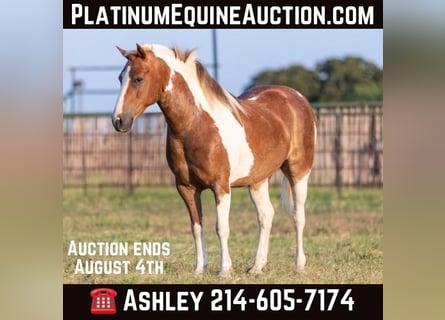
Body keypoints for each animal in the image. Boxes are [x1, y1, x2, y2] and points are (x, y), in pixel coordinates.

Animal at [112, 43, 318, 276]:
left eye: (138, 79)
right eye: (120, 78)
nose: (118, 121)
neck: (196, 124)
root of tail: (296, 97)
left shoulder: (220, 187)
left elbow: (222, 228)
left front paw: (224, 270)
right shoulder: (186, 188)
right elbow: (196, 227)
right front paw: (199, 269)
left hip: (298, 172)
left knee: (298, 215)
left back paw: (299, 265)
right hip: (257, 180)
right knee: (266, 215)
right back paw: (257, 266)